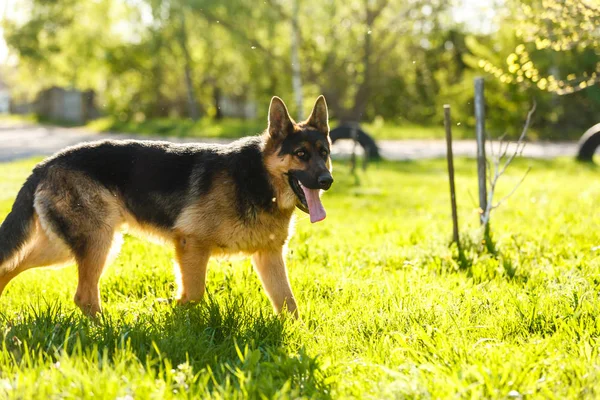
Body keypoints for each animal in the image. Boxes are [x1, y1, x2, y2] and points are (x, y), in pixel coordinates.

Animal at [0, 95, 332, 318]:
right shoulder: (191, 244)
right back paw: (106, 332)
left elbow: (289, 304)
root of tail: (45, 164)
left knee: (11, 267)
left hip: (64, 248)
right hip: (97, 243)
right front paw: (171, 307)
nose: (327, 181)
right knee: (84, 297)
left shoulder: (268, 256)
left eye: (324, 153)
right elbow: (193, 294)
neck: (259, 180)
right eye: (301, 154)